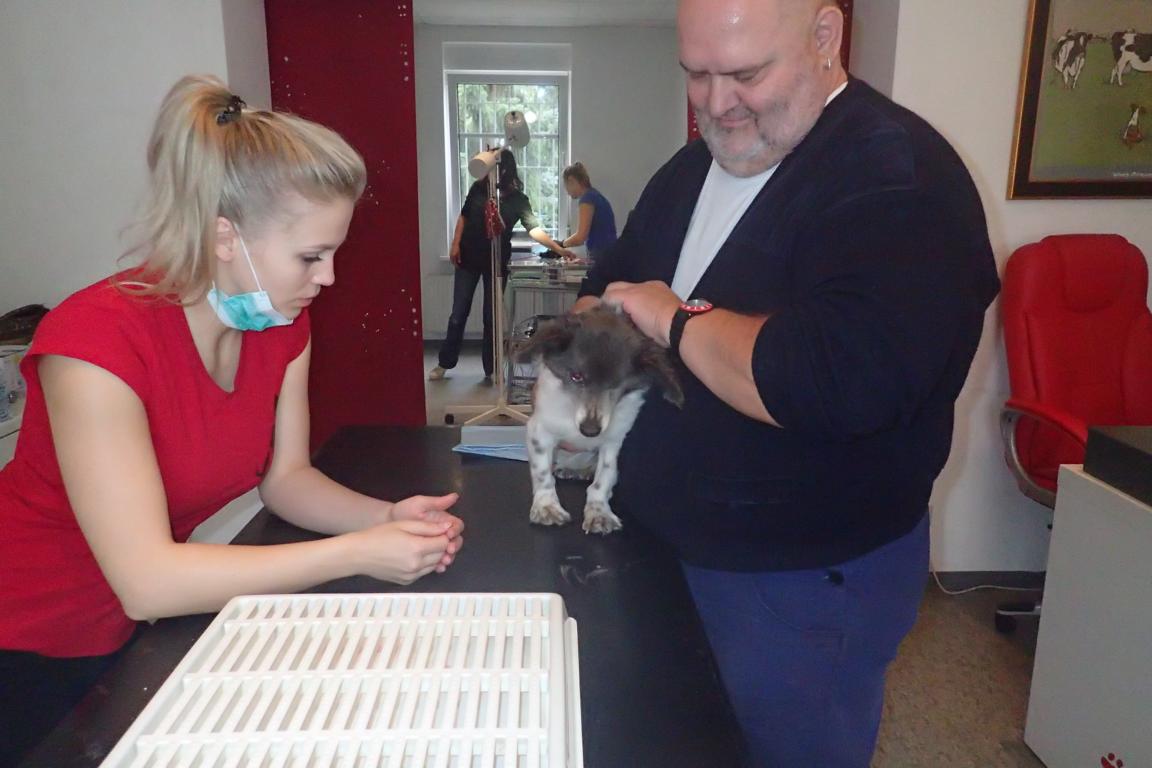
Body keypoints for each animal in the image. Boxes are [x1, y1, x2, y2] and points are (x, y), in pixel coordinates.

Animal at [516, 305, 683, 534]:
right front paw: (546, 505)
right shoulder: (540, 431)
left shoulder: (613, 441)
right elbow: (542, 472)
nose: (590, 430)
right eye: (576, 376)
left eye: (617, 383)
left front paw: (599, 511)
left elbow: (604, 476)